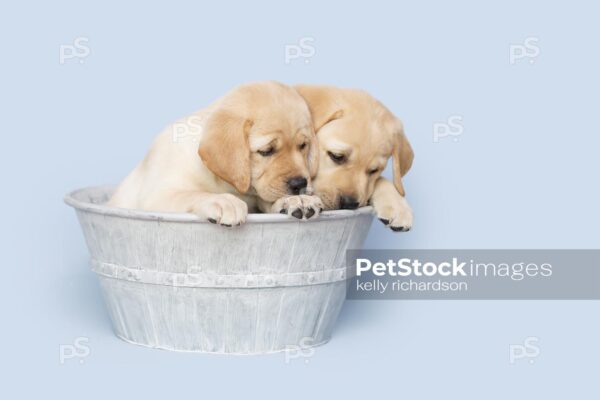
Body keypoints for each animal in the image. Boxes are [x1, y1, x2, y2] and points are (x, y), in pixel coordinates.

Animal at [108, 82, 324, 225]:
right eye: (266, 151)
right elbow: (192, 194)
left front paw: (299, 200)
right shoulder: (156, 197)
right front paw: (222, 201)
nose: (299, 184)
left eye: (303, 146)